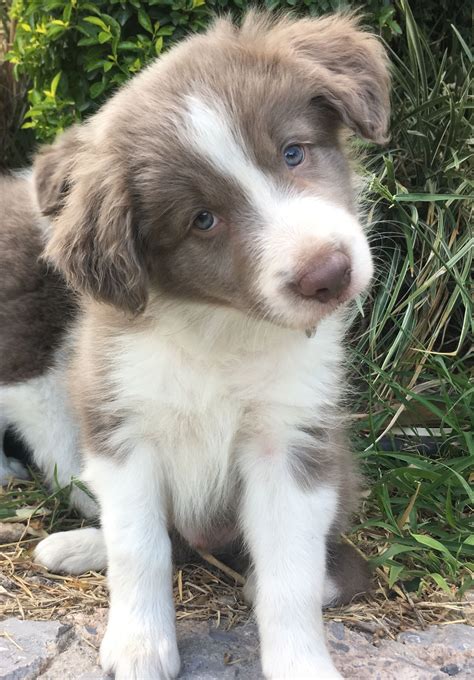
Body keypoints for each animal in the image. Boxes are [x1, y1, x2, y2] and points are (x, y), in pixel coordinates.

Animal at [1, 11, 390, 680]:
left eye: (293, 152)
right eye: (202, 219)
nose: (328, 274)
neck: (221, 329)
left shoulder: (290, 441)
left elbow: (290, 573)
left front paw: (301, 661)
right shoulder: (121, 429)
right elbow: (140, 548)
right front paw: (139, 645)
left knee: (323, 564)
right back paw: (80, 545)